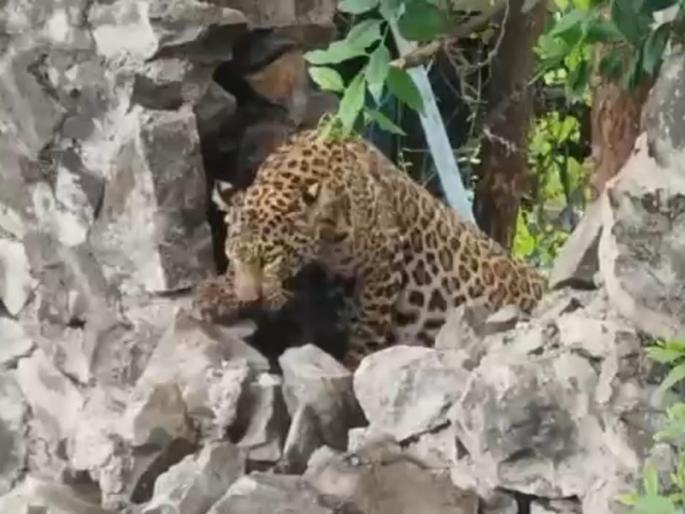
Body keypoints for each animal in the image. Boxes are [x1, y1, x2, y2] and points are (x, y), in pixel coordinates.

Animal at [194, 128, 546, 369]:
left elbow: (368, 327)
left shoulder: (383, 267)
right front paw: (216, 293)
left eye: (270, 260)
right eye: (232, 258)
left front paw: (352, 366)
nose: (249, 300)